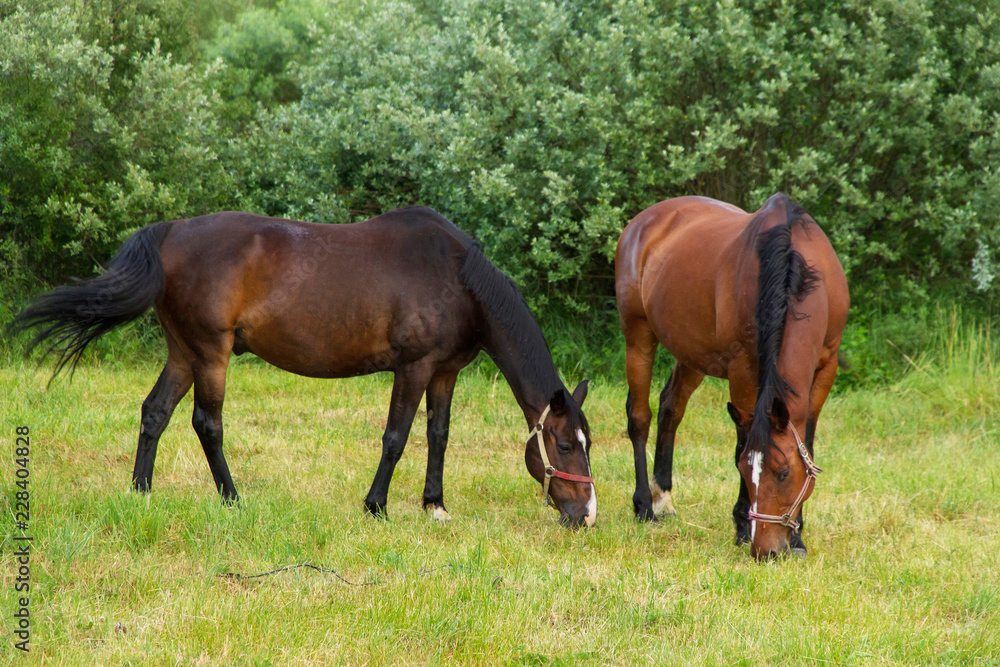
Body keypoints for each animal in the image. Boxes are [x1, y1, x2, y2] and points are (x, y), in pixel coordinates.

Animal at [9, 207, 592, 528]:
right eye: (564, 445)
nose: (586, 515)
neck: (456, 276)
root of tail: (170, 232)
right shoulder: (414, 367)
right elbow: (396, 437)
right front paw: (376, 507)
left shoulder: (445, 371)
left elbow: (438, 435)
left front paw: (435, 505)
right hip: (210, 354)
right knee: (207, 423)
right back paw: (232, 498)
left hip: (182, 352)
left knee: (155, 412)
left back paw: (141, 493)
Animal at [612, 193, 848, 560]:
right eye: (744, 471)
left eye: (783, 473)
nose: (766, 550)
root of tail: (641, 222)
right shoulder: (743, 368)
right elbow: (743, 438)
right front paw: (740, 525)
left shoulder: (826, 366)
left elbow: (807, 441)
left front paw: (797, 535)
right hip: (638, 336)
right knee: (639, 417)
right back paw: (645, 507)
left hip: (692, 353)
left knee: (671, 408)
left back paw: (663, 496)